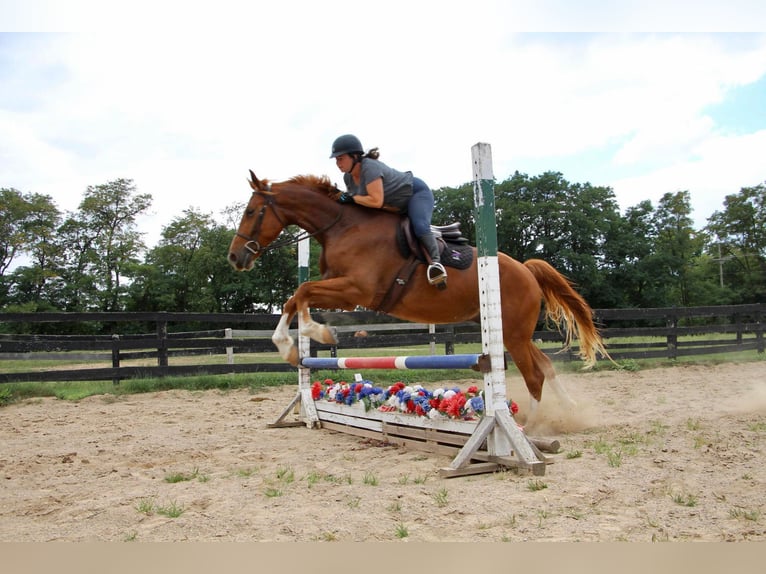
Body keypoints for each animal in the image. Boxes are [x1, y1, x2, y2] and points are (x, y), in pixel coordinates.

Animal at [228, 169, 612, 416]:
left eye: (251, 211)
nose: (235, 257)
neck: (342, 225)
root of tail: (525, 269)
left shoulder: (356, 290)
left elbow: (301, 291)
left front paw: (309, 334)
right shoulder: (344, 291)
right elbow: (296, 296)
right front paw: (296, 343)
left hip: (514, 333)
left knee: (534, 375)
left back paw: (532, 425)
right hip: (509, 330)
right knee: (544, 366)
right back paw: (565, 411)